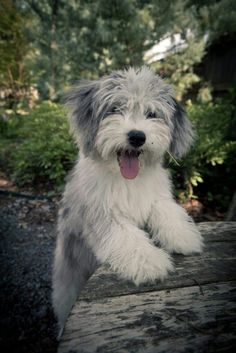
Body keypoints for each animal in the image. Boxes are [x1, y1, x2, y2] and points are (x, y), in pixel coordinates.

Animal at [51, 66, 203, 332]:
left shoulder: (156, 196)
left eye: (151, 113)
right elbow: (128, 236)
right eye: (115, 108)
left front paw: (183, 236)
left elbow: (166, 210)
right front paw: (150, 262)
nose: (137, 136)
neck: (127, 180)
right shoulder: (102, 213)